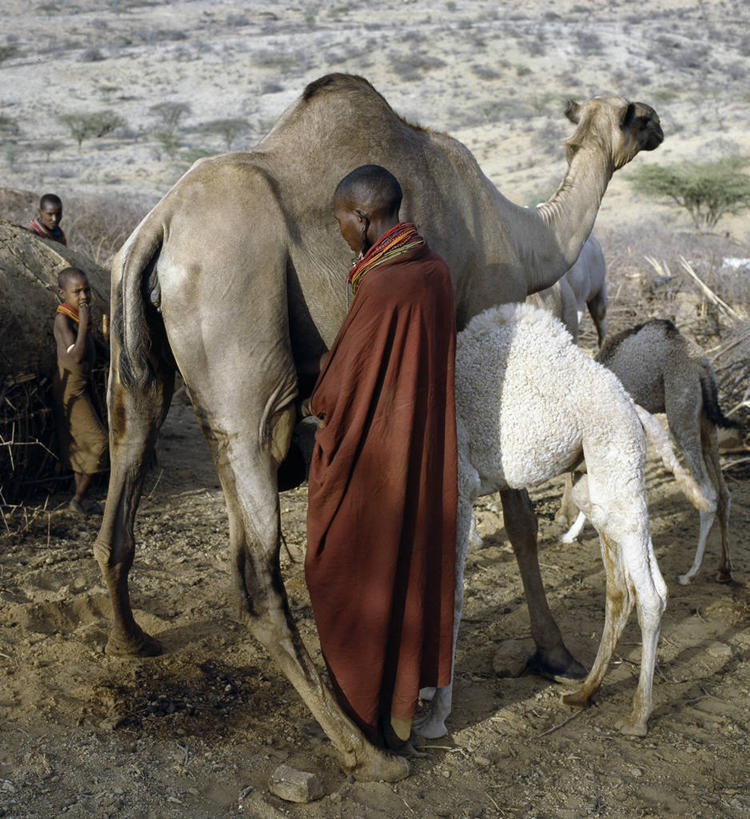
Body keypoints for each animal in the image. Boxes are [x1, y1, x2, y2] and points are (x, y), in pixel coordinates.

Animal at [94, 72, 664, 780]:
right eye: (633, 113)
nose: (659, 124)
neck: (521, 233)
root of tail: (160, 226)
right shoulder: (489, 319)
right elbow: (520, 520)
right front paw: (554, 653)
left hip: (137, 353)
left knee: (127, 457)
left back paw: (132, 640)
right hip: (239, 355)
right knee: (256, 571)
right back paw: (363, 748)